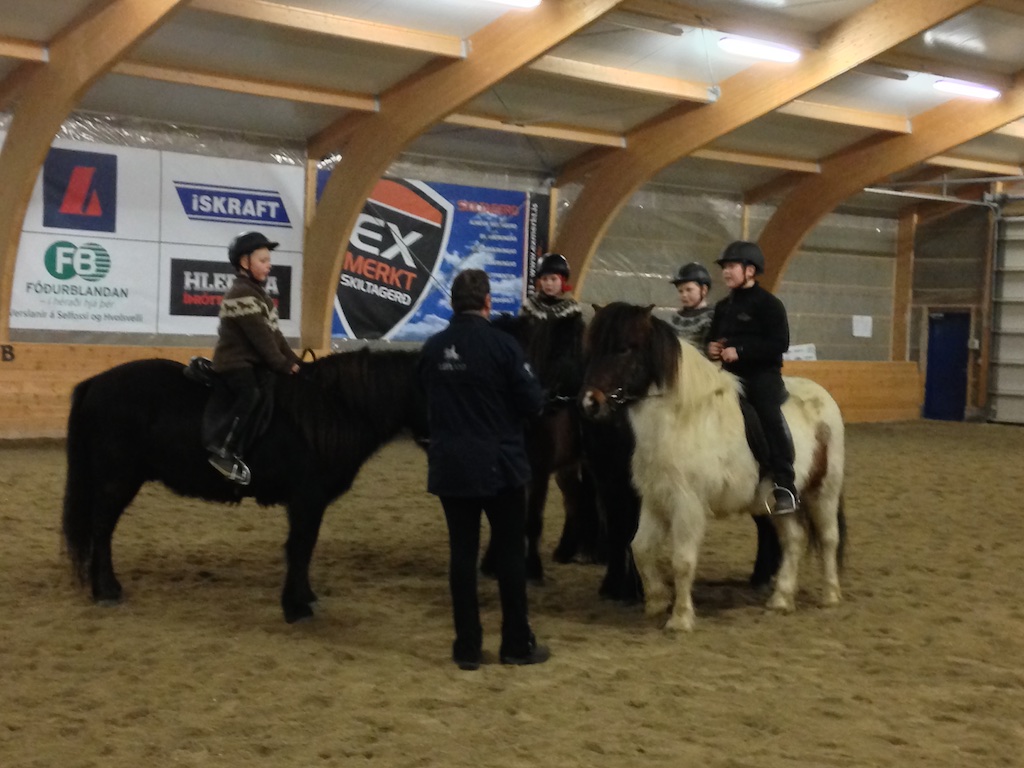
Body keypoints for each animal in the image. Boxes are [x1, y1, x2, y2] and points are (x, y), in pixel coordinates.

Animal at [62, 349, 427, 623]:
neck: (330, 409)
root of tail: (96, 383)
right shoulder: (307, 498)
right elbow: (301, 546)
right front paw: (296, 607)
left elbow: (304, 548)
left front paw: (305, 596)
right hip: (116, 480)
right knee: (102, 530)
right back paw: (107, 590)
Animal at [580, 303, 846, 631]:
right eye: (592, 349)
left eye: (625, 348)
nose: (590, 403)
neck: (681, 419)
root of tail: (823, 396)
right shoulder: (655, 499)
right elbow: (640, 547)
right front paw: (656, 602)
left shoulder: (687, 504)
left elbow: (682, 560)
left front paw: (680, 619)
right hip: (779, 503)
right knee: (794, 539)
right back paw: (781, 600)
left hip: (823, 492)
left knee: (829, 538)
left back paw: (830, 596)